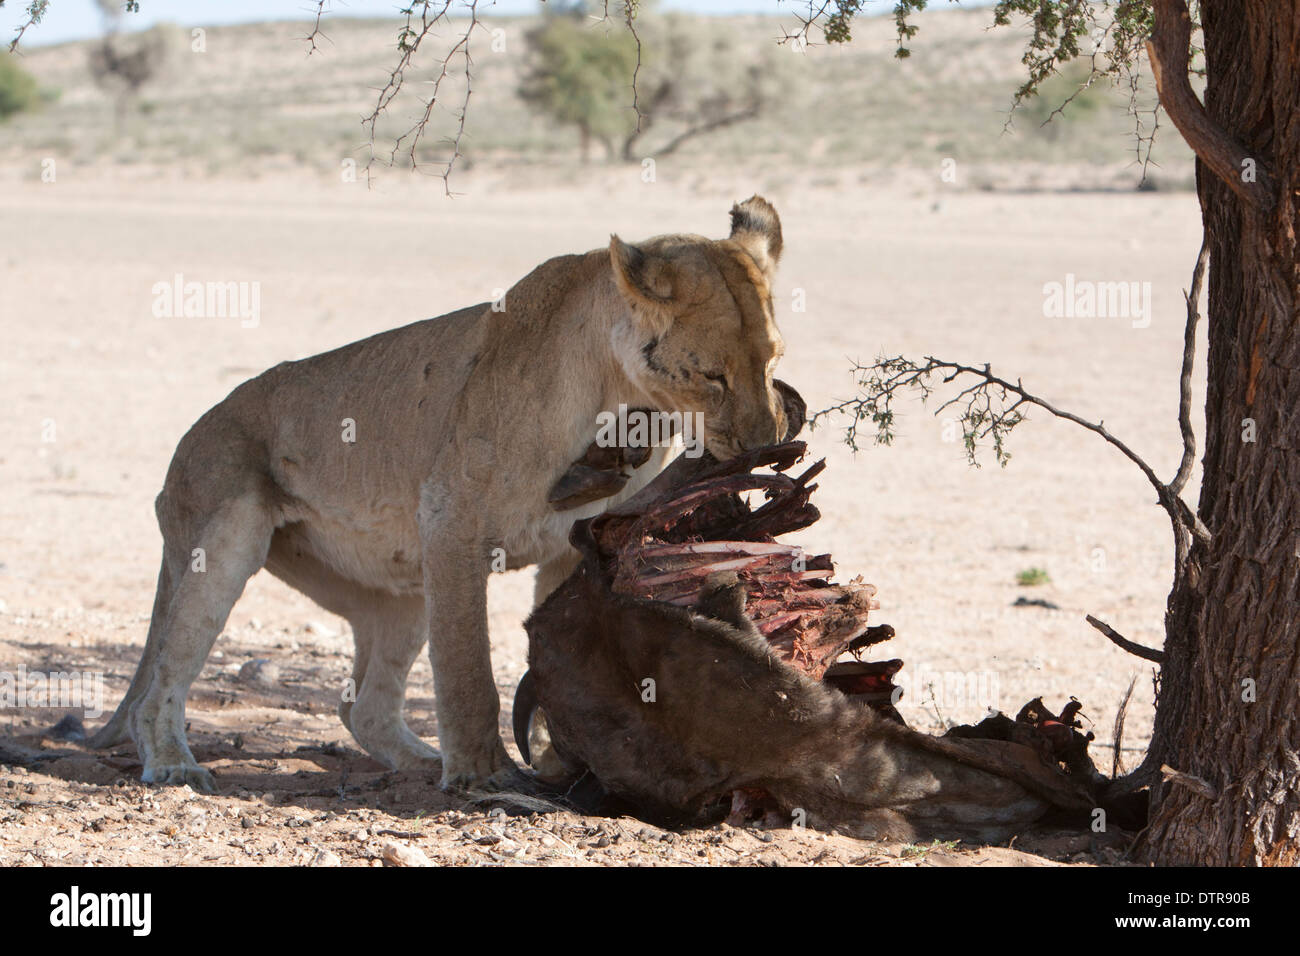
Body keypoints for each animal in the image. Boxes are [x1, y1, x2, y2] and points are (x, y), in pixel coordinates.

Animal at [91, 195, 785, 790]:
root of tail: (187, 442)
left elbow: (564, 655)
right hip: (225, 533)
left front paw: (561, 757)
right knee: (159, 682)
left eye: (773, 360)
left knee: (365, 709)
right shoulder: (451, 519)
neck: (623, 402)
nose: (766, 443)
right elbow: (468, 667)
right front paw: (485, 777)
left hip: (400, 589)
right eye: (711, 376)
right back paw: (173, 764)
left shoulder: (581, 542)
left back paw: (418, 761)